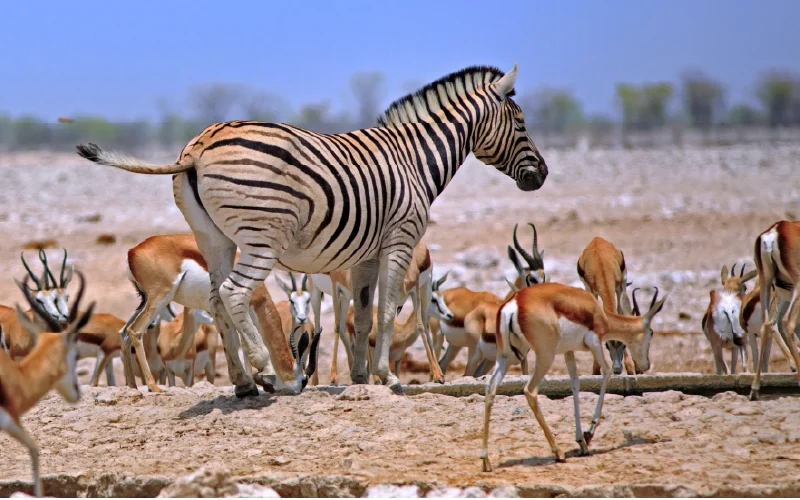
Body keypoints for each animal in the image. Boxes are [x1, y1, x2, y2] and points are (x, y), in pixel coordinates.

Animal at [75, 63, 549, 397]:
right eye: (522, 123)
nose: (541, 176)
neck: (413, 160)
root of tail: (198, 146)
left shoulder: (365, 255)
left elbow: (362, 314)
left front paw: (360, 377)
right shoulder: (400, 239)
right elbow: (387, 308)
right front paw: (386, 377)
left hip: (214, 239)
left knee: (215, 297)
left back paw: (242, 382)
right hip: (261, 239)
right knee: (232, 293)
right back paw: (266, 370)